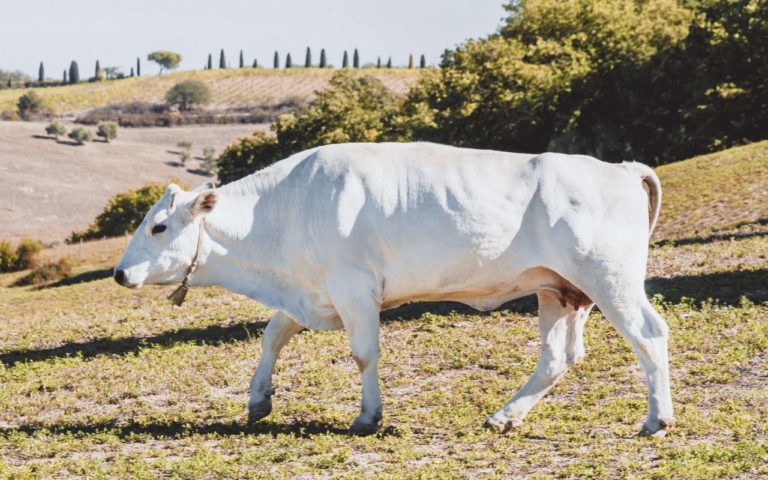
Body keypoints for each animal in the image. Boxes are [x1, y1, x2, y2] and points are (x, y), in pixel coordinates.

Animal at [112, 142, 672, 436]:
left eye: (159, 226)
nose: (119, 274)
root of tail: (620, 167)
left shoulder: (353, 289)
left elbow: (363, 354)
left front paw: (367, 416)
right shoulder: (313, 293)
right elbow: (272, 335)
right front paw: (258, 400)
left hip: (609, 278)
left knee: (649, 334)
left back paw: (656, 418)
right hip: (560, 290)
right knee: (558, 357)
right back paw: (505, 416)